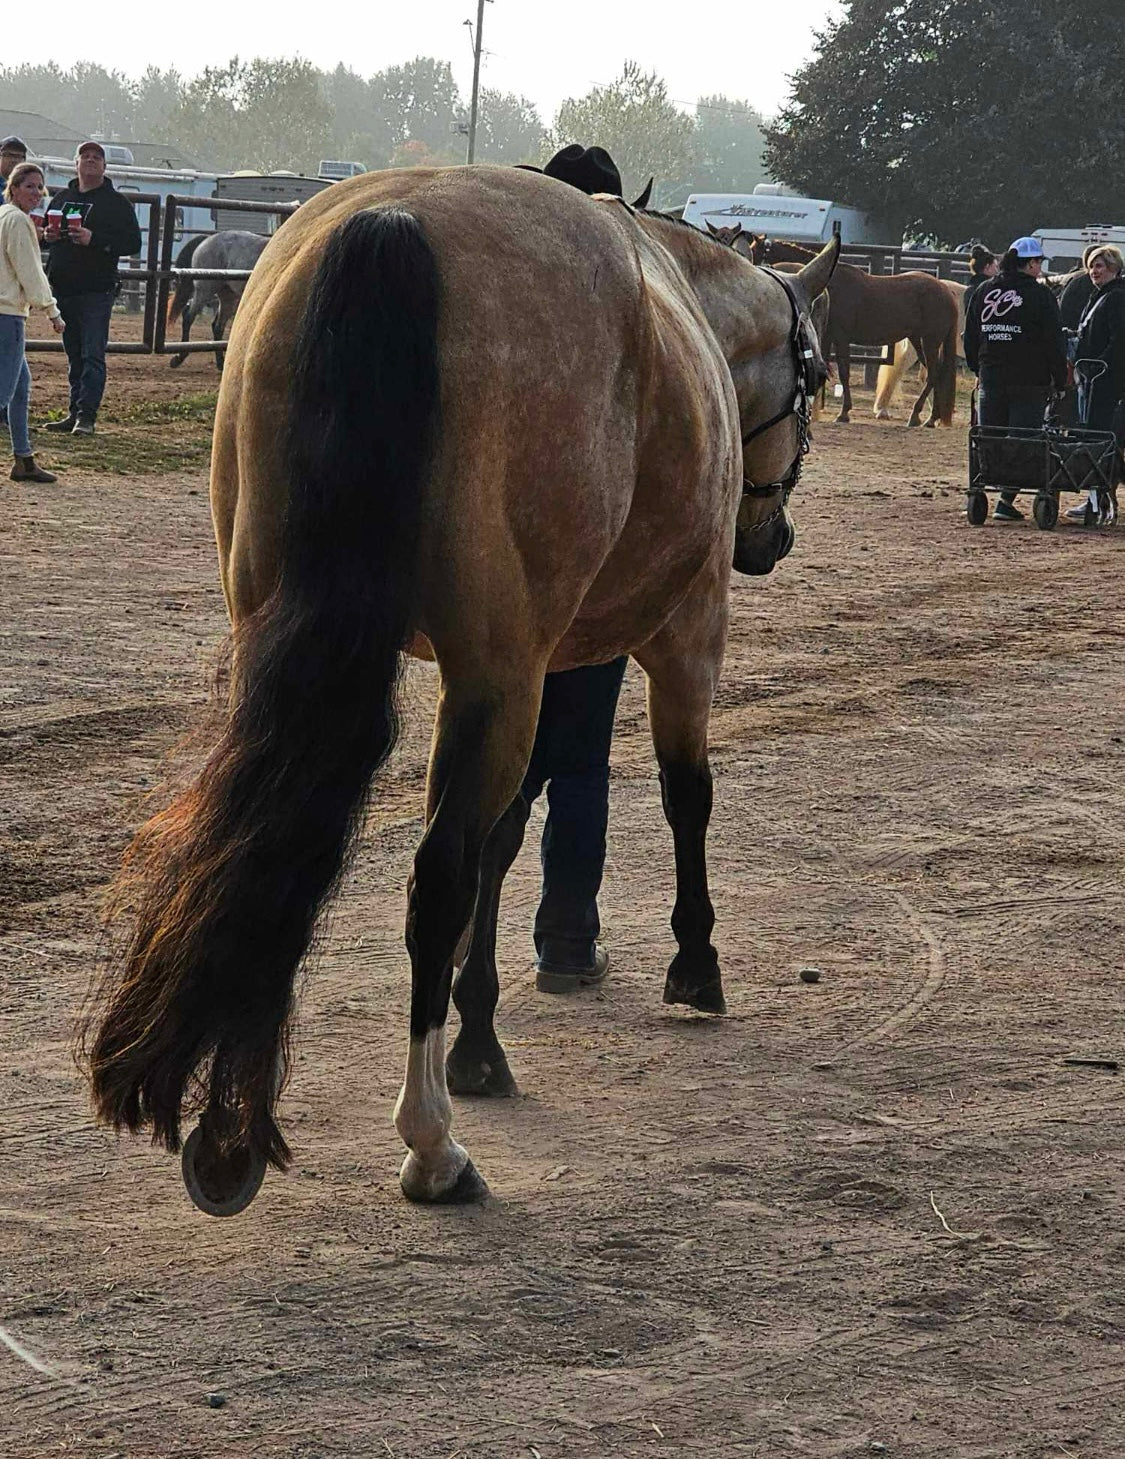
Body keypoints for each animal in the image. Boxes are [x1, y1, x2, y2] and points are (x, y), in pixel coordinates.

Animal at [167, 230, 269, 372]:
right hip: (206, 290)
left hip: (228, 297)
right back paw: (179, 358)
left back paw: (221, 363)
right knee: (188, 316)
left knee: (218, 326)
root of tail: (208, 238)